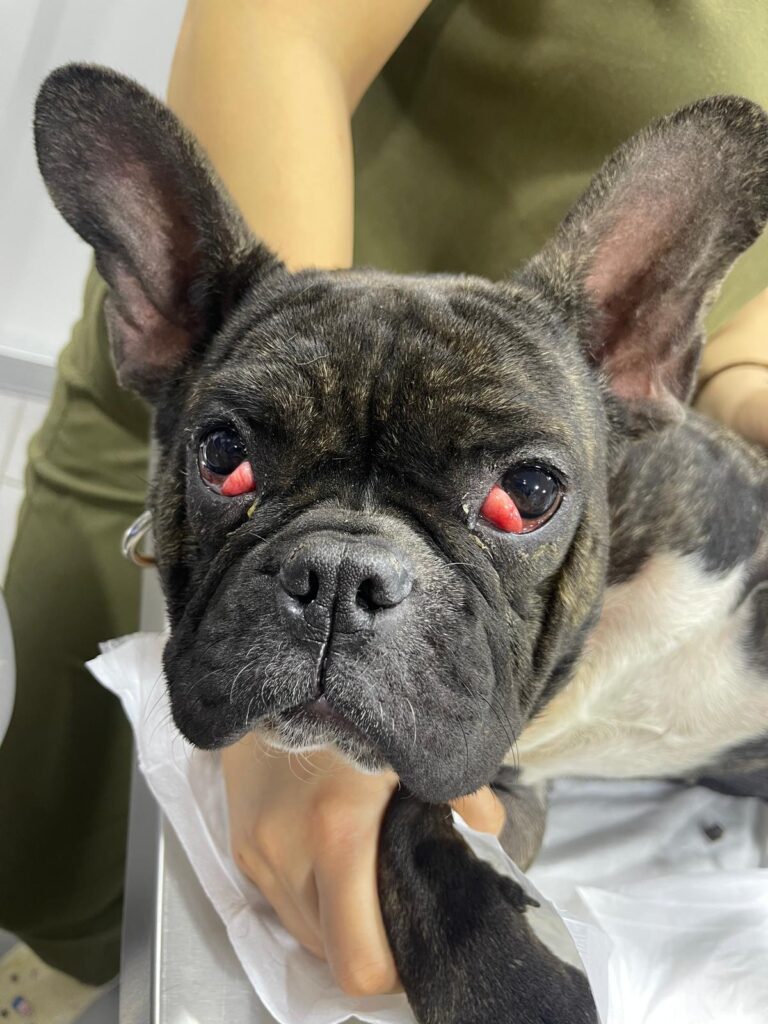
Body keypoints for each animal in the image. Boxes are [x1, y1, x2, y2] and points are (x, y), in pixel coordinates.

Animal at [34, 64, 768, 1024]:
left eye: (528, 493)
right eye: (223, 455)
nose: (341, 577)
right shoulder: (492, 783)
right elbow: (415, 843)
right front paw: (517, 987)